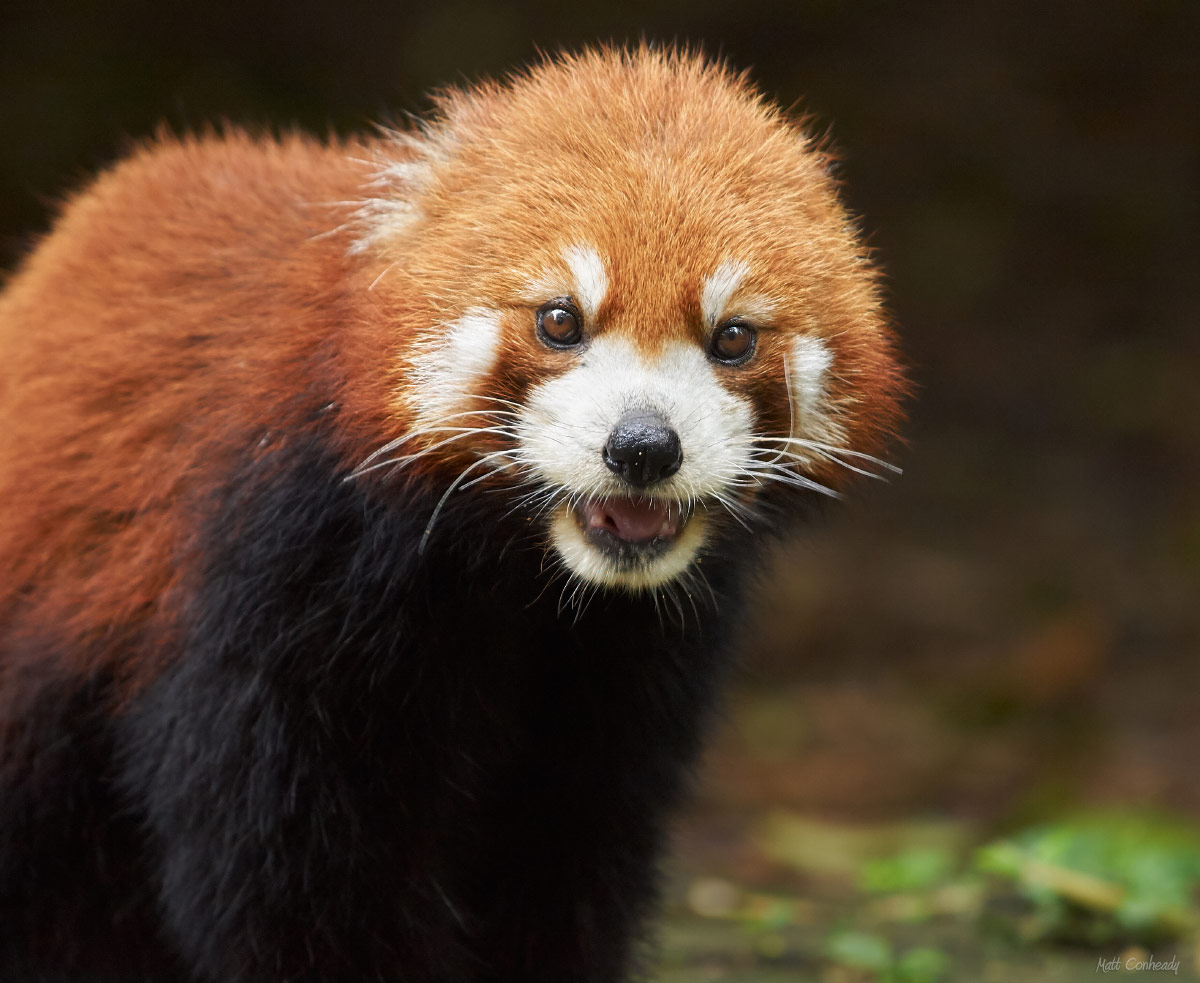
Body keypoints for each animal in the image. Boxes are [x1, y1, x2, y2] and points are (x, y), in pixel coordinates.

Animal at [0, 50, 902, 983]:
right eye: (560, 319)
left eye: (732, 337)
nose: (644, 446)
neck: (516, 573)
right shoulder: (271, 580)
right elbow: (290, 877)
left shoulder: (625, 665)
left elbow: (571, 847)